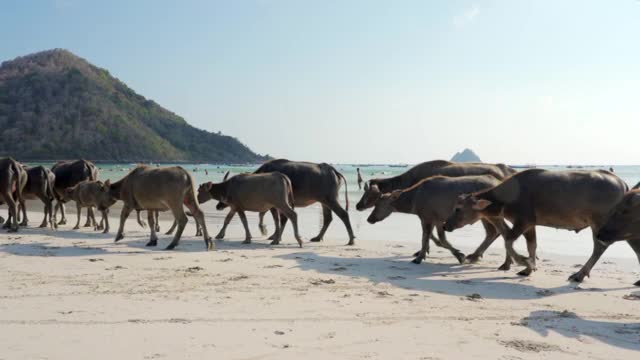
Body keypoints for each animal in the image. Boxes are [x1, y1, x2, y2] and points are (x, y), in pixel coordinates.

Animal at [218, 160, 352, 246]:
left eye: (226, 190)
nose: (219, 205)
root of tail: (333, 170)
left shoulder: (274, 204)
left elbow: (276, 219)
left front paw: (272, 235)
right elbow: (229, 218)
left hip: (331, 200)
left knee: (343, 214)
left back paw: (351, 239)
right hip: (324, 202)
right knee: (328, 218)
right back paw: (318, 237)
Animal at [364, 174, 504, 264]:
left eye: (378, 204)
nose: (369, 219)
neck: (413, 201)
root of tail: (499, 182)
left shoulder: (427, 218)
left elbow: (427, 238)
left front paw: (419, 258)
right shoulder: (437, 220)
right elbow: (439, 239)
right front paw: (458, 254)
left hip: (486, 216)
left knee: (493, 232)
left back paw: (474, 256)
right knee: (494, 232)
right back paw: (475, 255)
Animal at [442, 169, 628, 282]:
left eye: (458, 209)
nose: (445, 226)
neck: (509, 195)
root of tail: (621, 182)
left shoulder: (522, 221)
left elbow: (508, 242)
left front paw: (525, 262)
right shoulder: (530, 224)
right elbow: (531, 245)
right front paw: (529, 267)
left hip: (599, 223)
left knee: (599, 247)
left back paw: (579, 274)